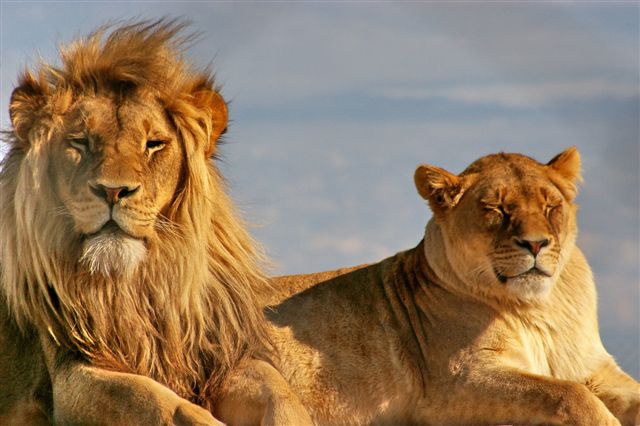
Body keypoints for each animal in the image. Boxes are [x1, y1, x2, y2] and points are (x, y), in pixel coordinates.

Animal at [0, 18, 272, 424]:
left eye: (154, 144)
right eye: (80, 142)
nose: (113, 191)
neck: (138, 285)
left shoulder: (217, 354)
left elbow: (272, 383)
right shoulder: (71, 374)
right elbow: (159, 401)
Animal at [218, 148, 636, 424]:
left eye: (551, 207)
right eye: (497, 210)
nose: (535, 244)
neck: (537, 307)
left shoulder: (595, 369)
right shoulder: (455, 384)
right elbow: (571, 394)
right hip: (269, 387)